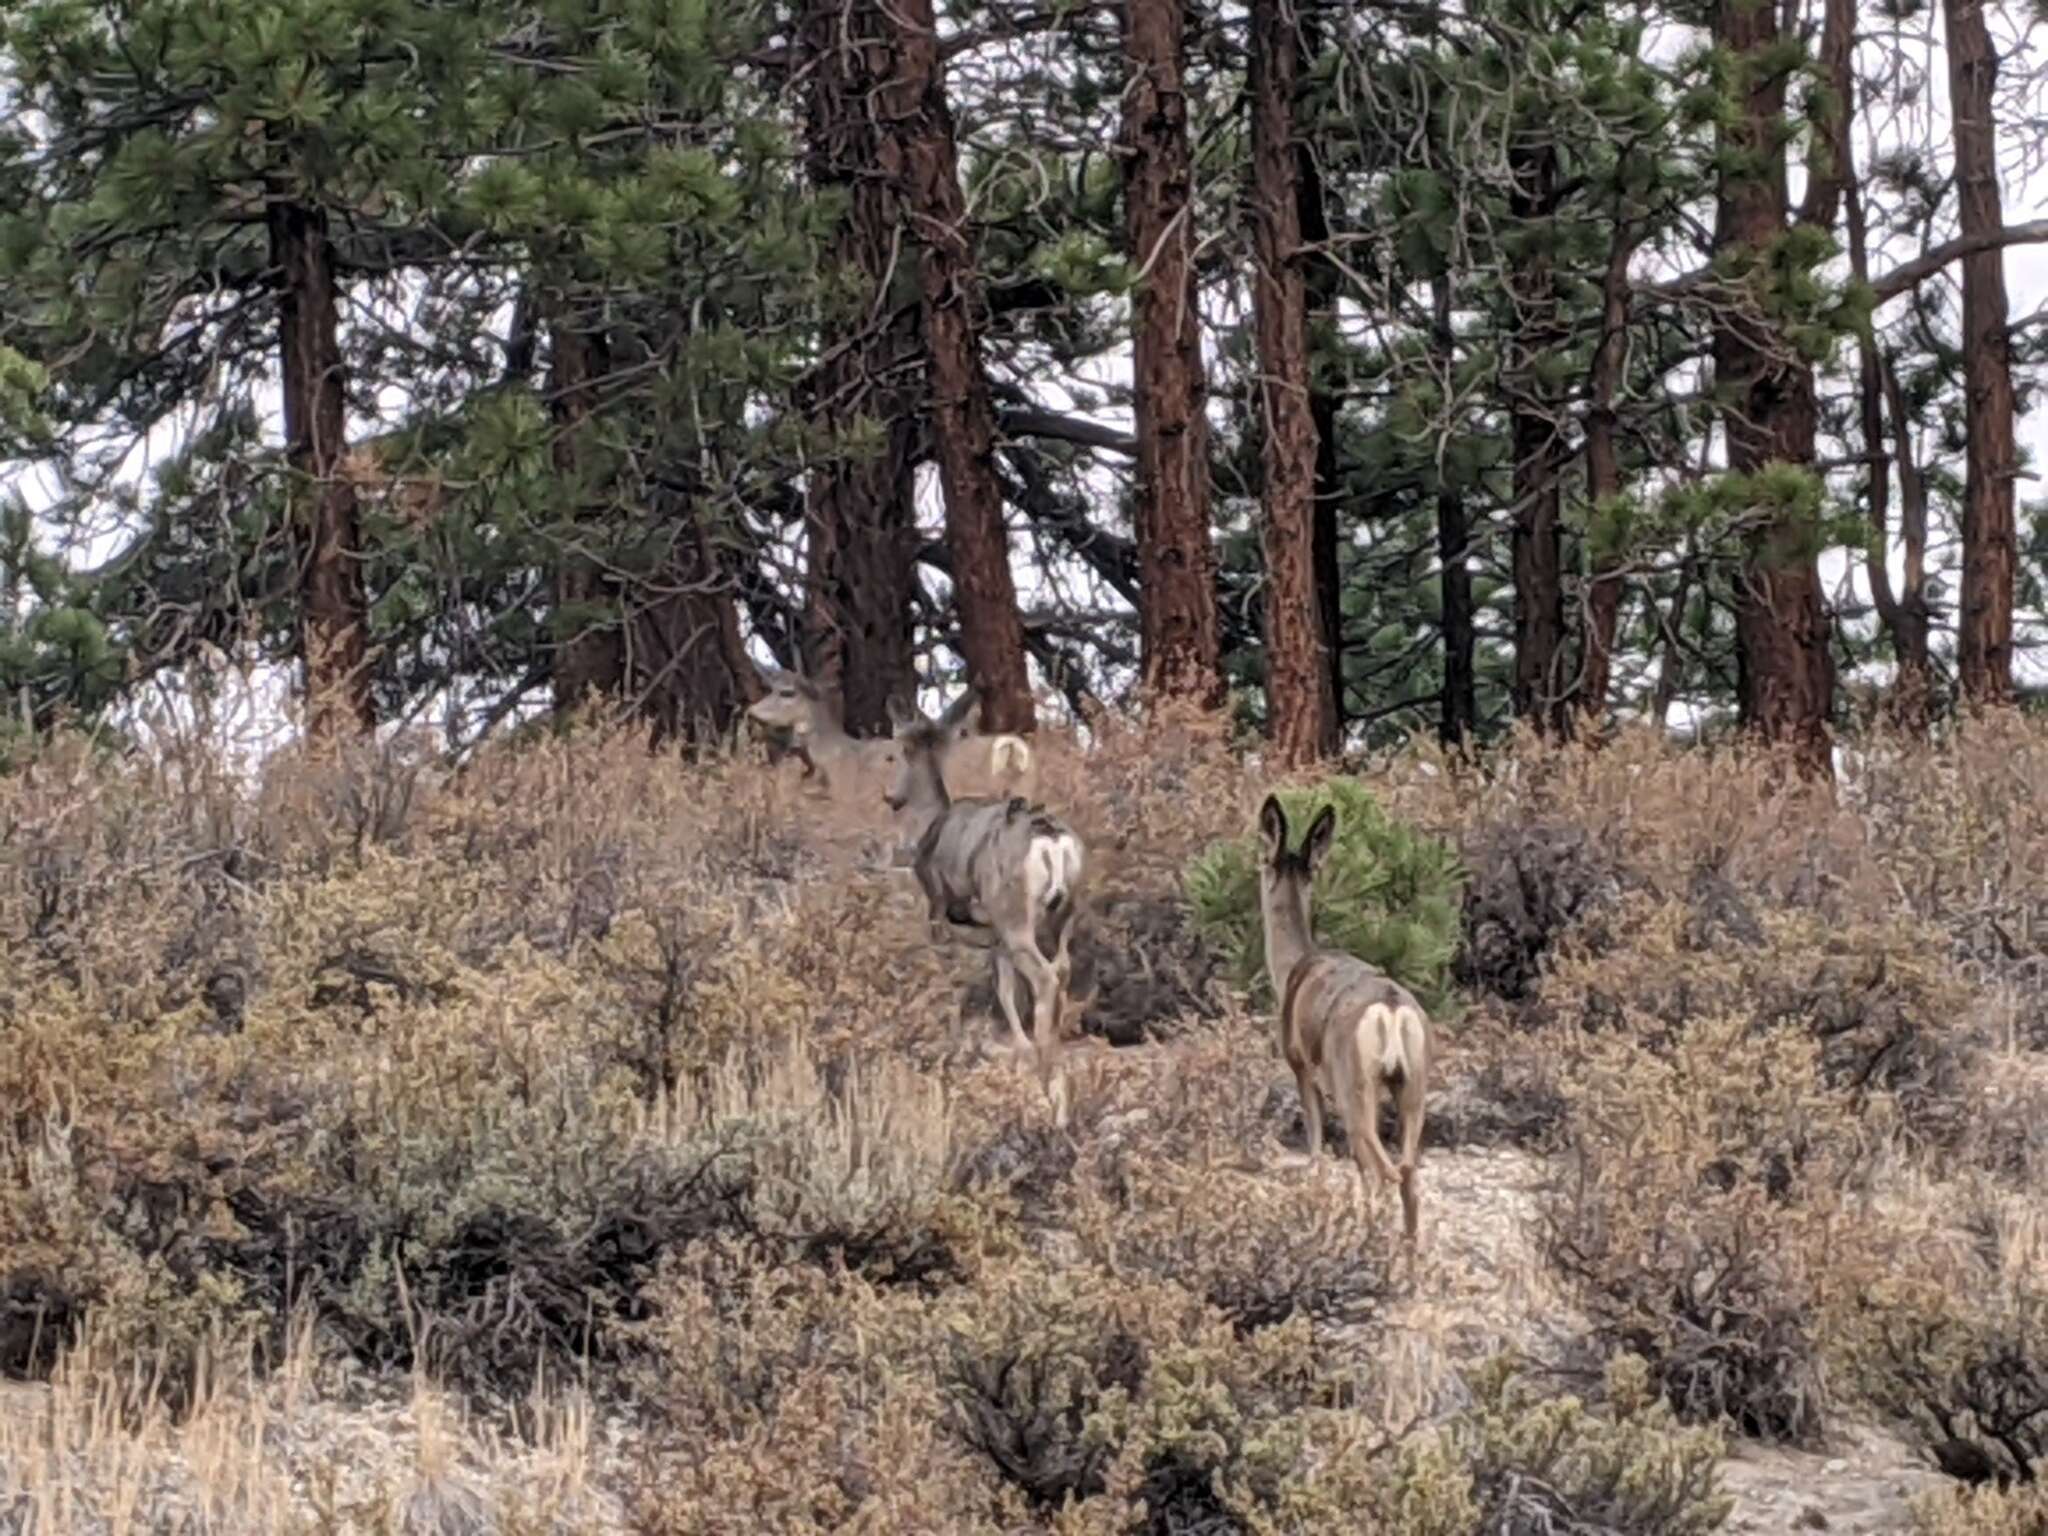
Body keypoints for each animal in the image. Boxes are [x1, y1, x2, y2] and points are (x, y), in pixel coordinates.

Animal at [892, 692, 1097, 1122]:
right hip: (1062, 915)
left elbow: (952, 988)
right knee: (1062, 971)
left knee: (1044, 978)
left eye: (899, 751)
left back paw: (1049, 1085)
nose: (893, 799)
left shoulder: (939, 917)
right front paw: (1020, 1053)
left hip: (1016, 917)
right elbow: (1004, 992)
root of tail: (1051, 839)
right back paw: (1056, 1077)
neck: (934, 820)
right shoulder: (996, 939)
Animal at [1253, 794, 1433, 1253]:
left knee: (1381, 1169)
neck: (1292, 968)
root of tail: (1390, 1011)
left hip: (1355, 1082)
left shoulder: (1300, 1065)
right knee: (1408, 1172)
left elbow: (1316, 1148)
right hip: (1413, 1085)